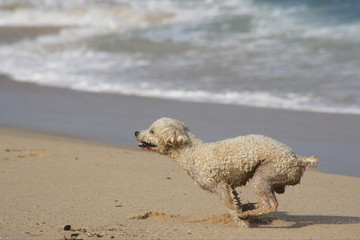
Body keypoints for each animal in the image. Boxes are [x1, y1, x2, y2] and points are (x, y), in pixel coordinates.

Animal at [135, 117, 318, 227]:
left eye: (151, 131)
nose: (136, 132)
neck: (192, 153)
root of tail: (298, 159)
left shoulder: (220, 186)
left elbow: (230, 206)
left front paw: (242, 223)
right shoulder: (229, 186)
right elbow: (235, 201)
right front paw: (241, 211)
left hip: (266, 173)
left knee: (271, 204)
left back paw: (248, 214)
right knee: (265, 202)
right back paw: (249, 208)